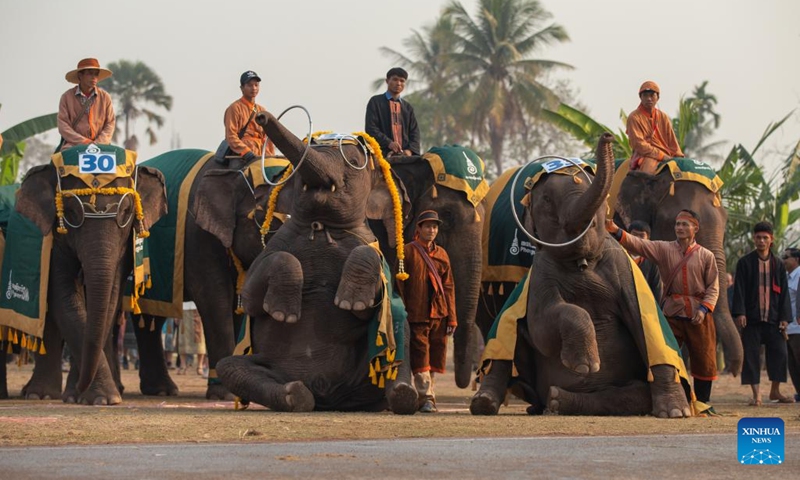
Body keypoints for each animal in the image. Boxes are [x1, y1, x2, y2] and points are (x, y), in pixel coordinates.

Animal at [3, 145, 167, 404]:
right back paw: (40, 394)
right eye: (71, 211)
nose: (80, 386)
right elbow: (64, 299)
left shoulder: (122, 250)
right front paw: (98, 397)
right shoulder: (54, 242)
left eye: (126, 211)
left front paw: (91, 397)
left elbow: (108, 300)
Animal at [216, 112, 419, 413]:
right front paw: (283, 314)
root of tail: (328, 398)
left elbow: (375, 293)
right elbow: (251, 298)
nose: (261, 116)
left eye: (353, 160)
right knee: (230, 367)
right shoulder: (275, 246)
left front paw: (349, 303)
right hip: (264, 362)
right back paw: (295, 395)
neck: (320, 226)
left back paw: (403, 397)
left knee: (398, 335)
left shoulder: (370, 246)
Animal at [470, 134, 693, 417]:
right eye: (546, 200)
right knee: (506, 334)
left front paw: (676, 413)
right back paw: (487, 403)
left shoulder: (624, 272)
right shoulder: (541, 271)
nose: (607, 136)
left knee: (634, 395)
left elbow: (648, 329)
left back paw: (557, 400)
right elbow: (541, 325)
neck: (582, 263)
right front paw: (585, 365)